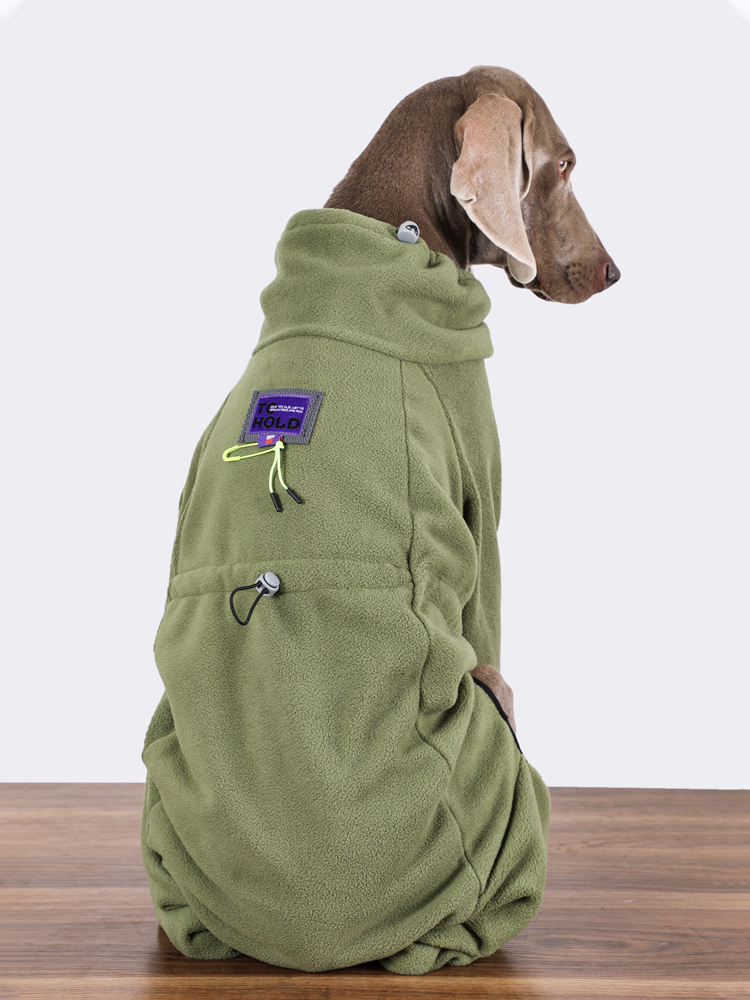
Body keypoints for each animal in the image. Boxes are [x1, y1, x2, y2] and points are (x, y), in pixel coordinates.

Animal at [141, 66, 618, 976]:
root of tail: (308, 940)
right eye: (565, 163)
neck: (388, 235)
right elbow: (487, 599)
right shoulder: (482, 492)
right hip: (497, 743)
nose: (613, 272)